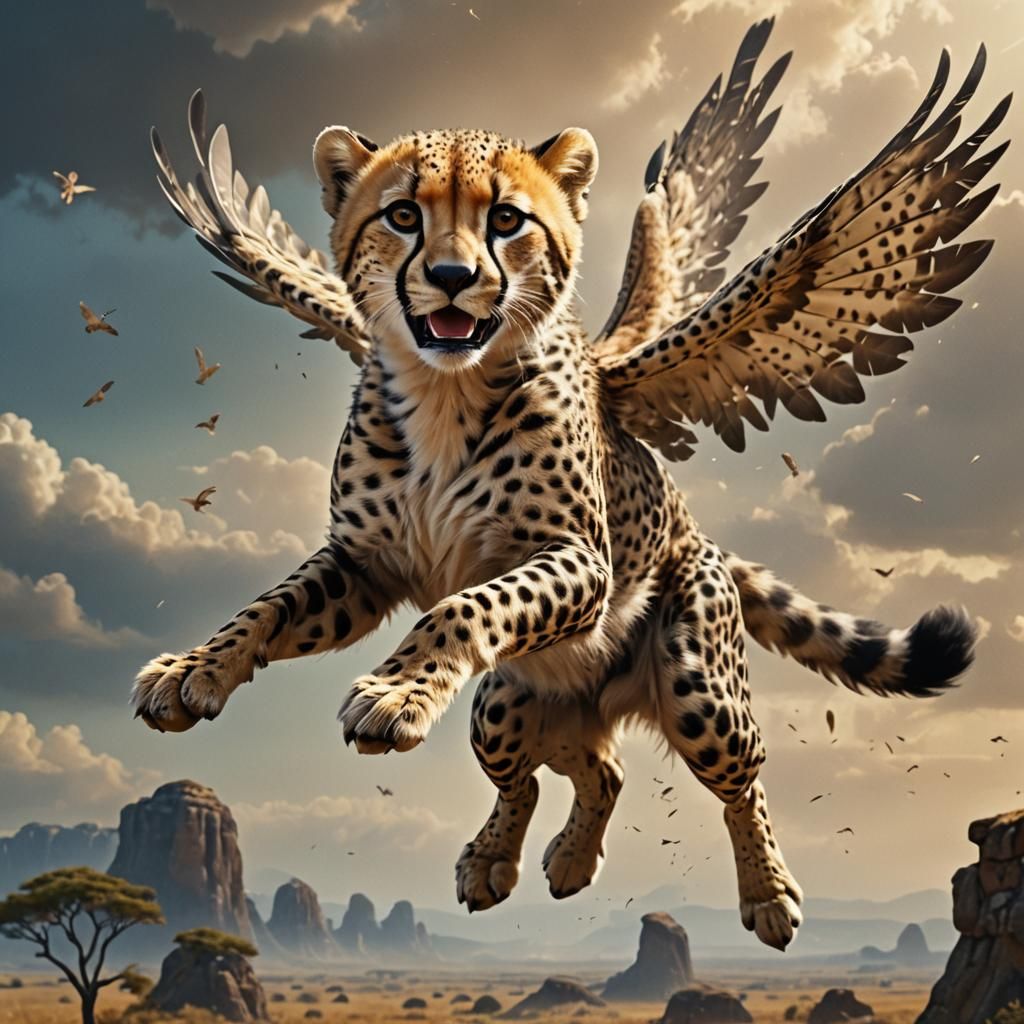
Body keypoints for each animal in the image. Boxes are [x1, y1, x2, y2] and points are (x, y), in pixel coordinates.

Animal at [134, 21, 1005, 949]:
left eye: (506, 219)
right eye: (402, 215)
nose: (451, 277)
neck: (445, 391)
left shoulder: (580, 561)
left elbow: (462, 607)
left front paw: (394, 690)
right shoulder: (365, 563)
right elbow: (268, 607)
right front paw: (194, 669)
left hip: (697, 685)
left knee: (740, 775)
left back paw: (767, 892)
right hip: (502, 702)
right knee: (586, 769)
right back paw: (518, 861)